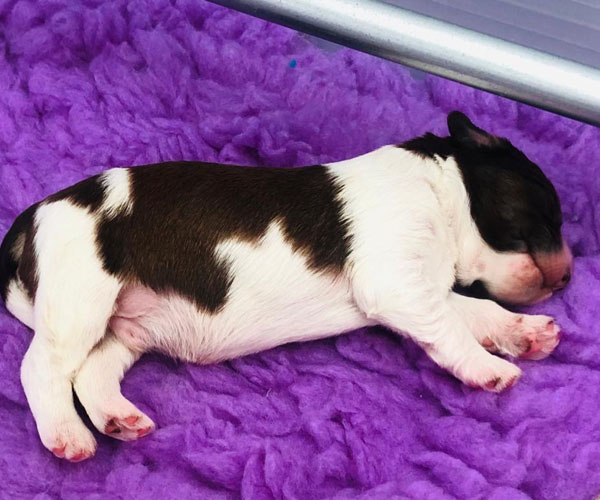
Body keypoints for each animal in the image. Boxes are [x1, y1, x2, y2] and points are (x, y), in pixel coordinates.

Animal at [0, 111, 572, 461]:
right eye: (549, 214)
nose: (568, 277)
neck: (441, 189)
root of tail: (36, 214)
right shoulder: (396, 284)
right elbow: (452, 326)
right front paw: (491, 368)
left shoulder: (420, 286)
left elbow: (471, 311)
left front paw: (526, 333)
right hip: (81, 300)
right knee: (42, 369)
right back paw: (68, 437)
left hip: (124, 325)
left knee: (91, 374)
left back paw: (119, 420)